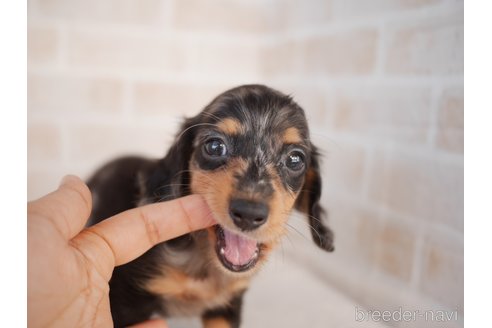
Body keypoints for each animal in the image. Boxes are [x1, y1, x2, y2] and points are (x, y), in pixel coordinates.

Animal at [87, 85, 334, 328]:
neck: (204, 262)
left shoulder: (227, 305)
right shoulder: (128, 299)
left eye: (295, 159)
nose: (249, 214)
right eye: (215, 146)